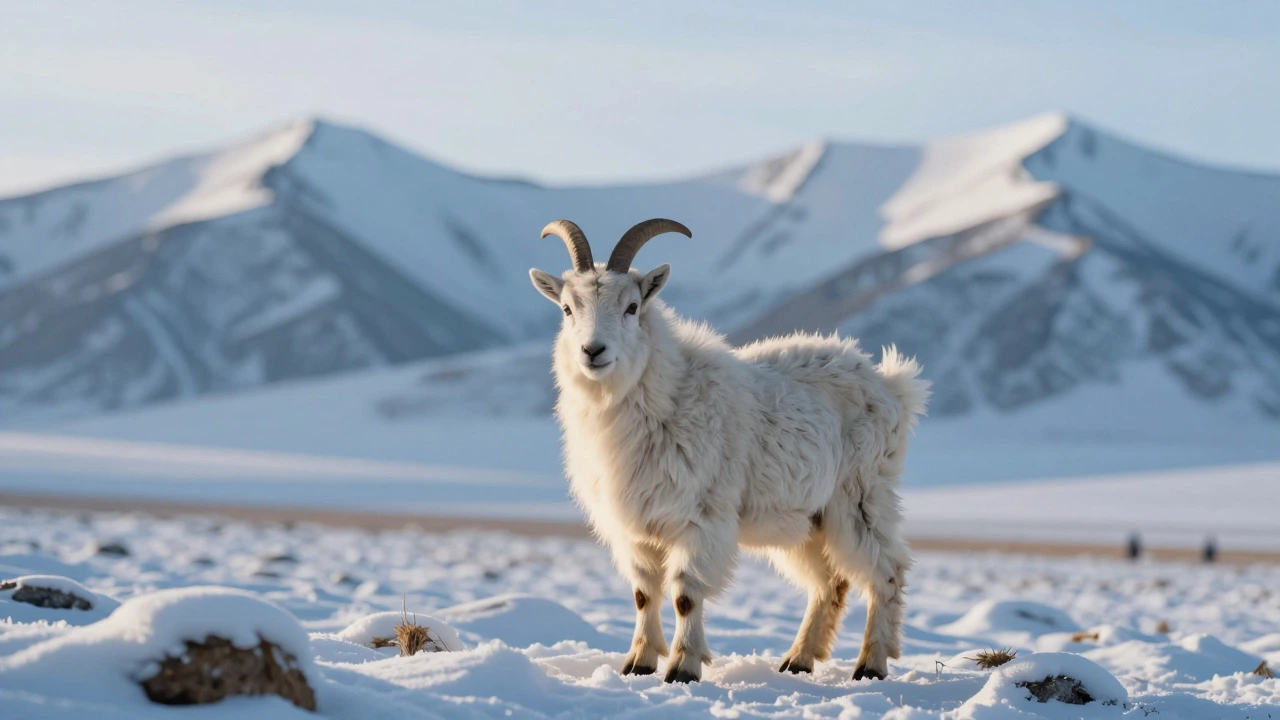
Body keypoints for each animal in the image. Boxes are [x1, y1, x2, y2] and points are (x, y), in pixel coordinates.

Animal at [529, 219, 929, 683]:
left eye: (631, 306)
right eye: (566, 309)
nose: (593, 351)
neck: (666, 396)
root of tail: (893, 387)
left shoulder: (702, 519)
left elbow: (685, 594)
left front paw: (683, 667)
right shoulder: (636, 528)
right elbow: (644, 593)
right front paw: (638, 663)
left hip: (859, 498)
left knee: (886, 572)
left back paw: (870, 663)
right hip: (809, 521)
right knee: (830, 582)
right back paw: (798, 659)